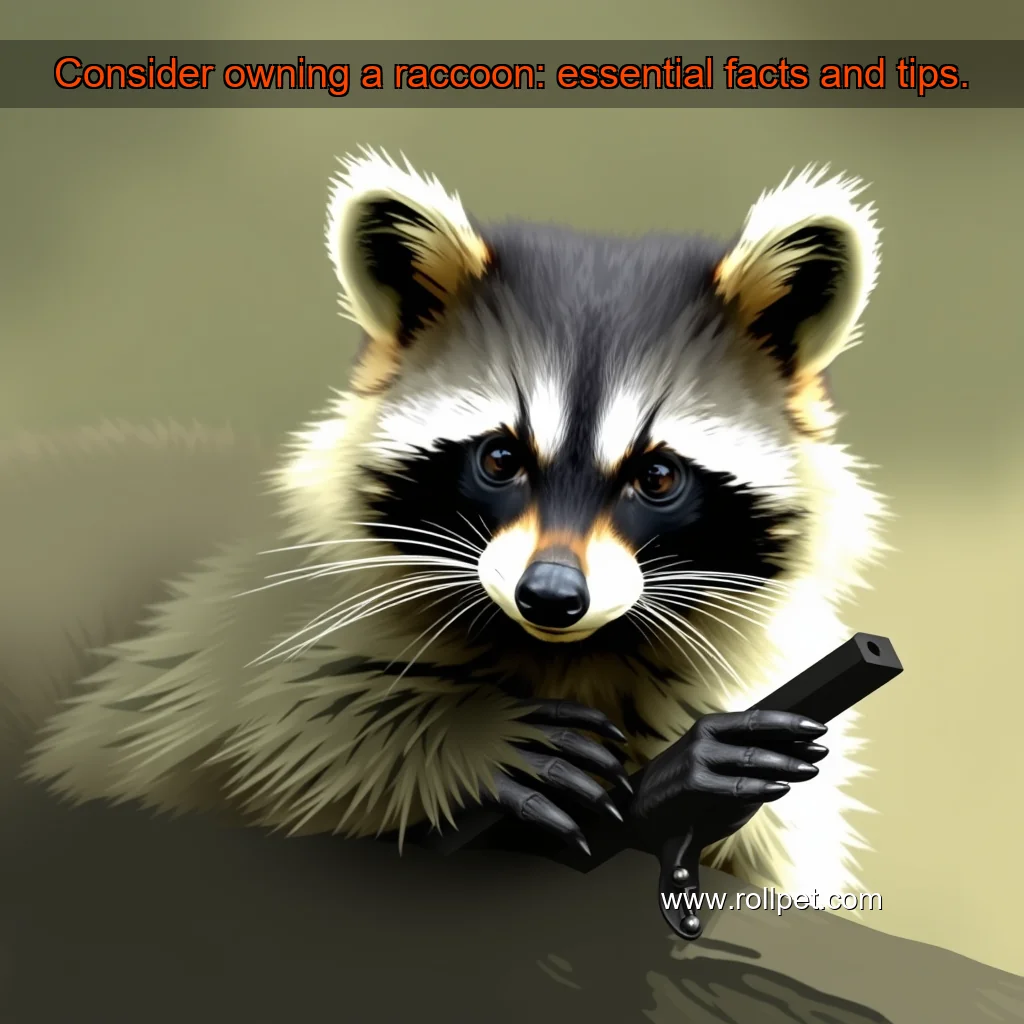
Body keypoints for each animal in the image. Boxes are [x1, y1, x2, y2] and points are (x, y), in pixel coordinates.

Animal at [13, 149, 885, 897]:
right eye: (499, 458)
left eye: (658, 477)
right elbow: (268, 736)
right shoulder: (246, 634)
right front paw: (464, 737)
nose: (551, 596)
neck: (567, 652)